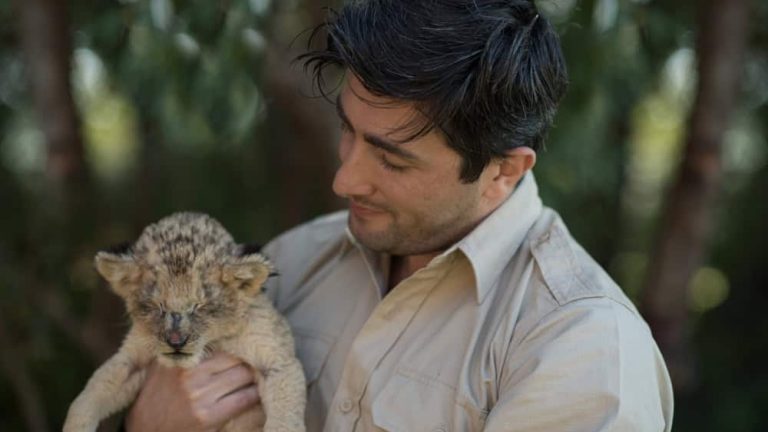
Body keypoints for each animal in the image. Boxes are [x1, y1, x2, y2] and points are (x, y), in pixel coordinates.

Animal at [63, 212, 306, 432]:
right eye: (158, 306)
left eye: (199, 306)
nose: (176, 342)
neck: (214, 342)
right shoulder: (134, 356)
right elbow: (94, 389)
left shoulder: (275, 358)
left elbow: (284, 414)